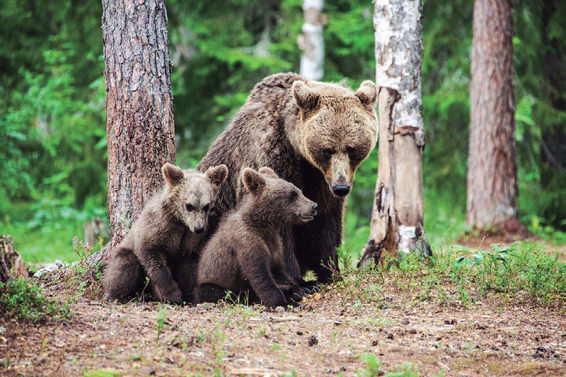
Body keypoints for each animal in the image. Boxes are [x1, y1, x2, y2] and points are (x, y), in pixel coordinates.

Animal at [197, 72, 380, 284]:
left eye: (353, 149)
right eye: (327, 150)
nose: (341, 188)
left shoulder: (320, 178)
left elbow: (325, 220)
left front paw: (330, 273)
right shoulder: (271, 157)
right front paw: (297, 280)